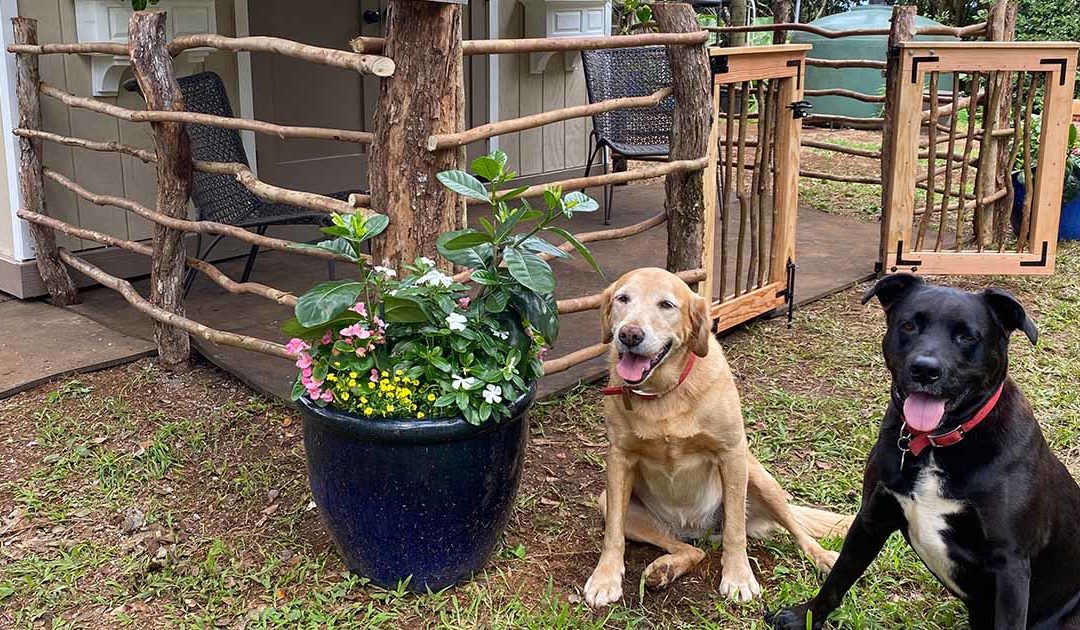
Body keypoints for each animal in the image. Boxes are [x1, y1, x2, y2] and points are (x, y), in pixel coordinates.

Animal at [768, 276, 1080, 630]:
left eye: (968, 336)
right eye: (908, 325)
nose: (925, 370)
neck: (935, 444)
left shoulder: (1010, 563)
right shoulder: (872, 518)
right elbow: (838, 578)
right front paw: (804, 616)